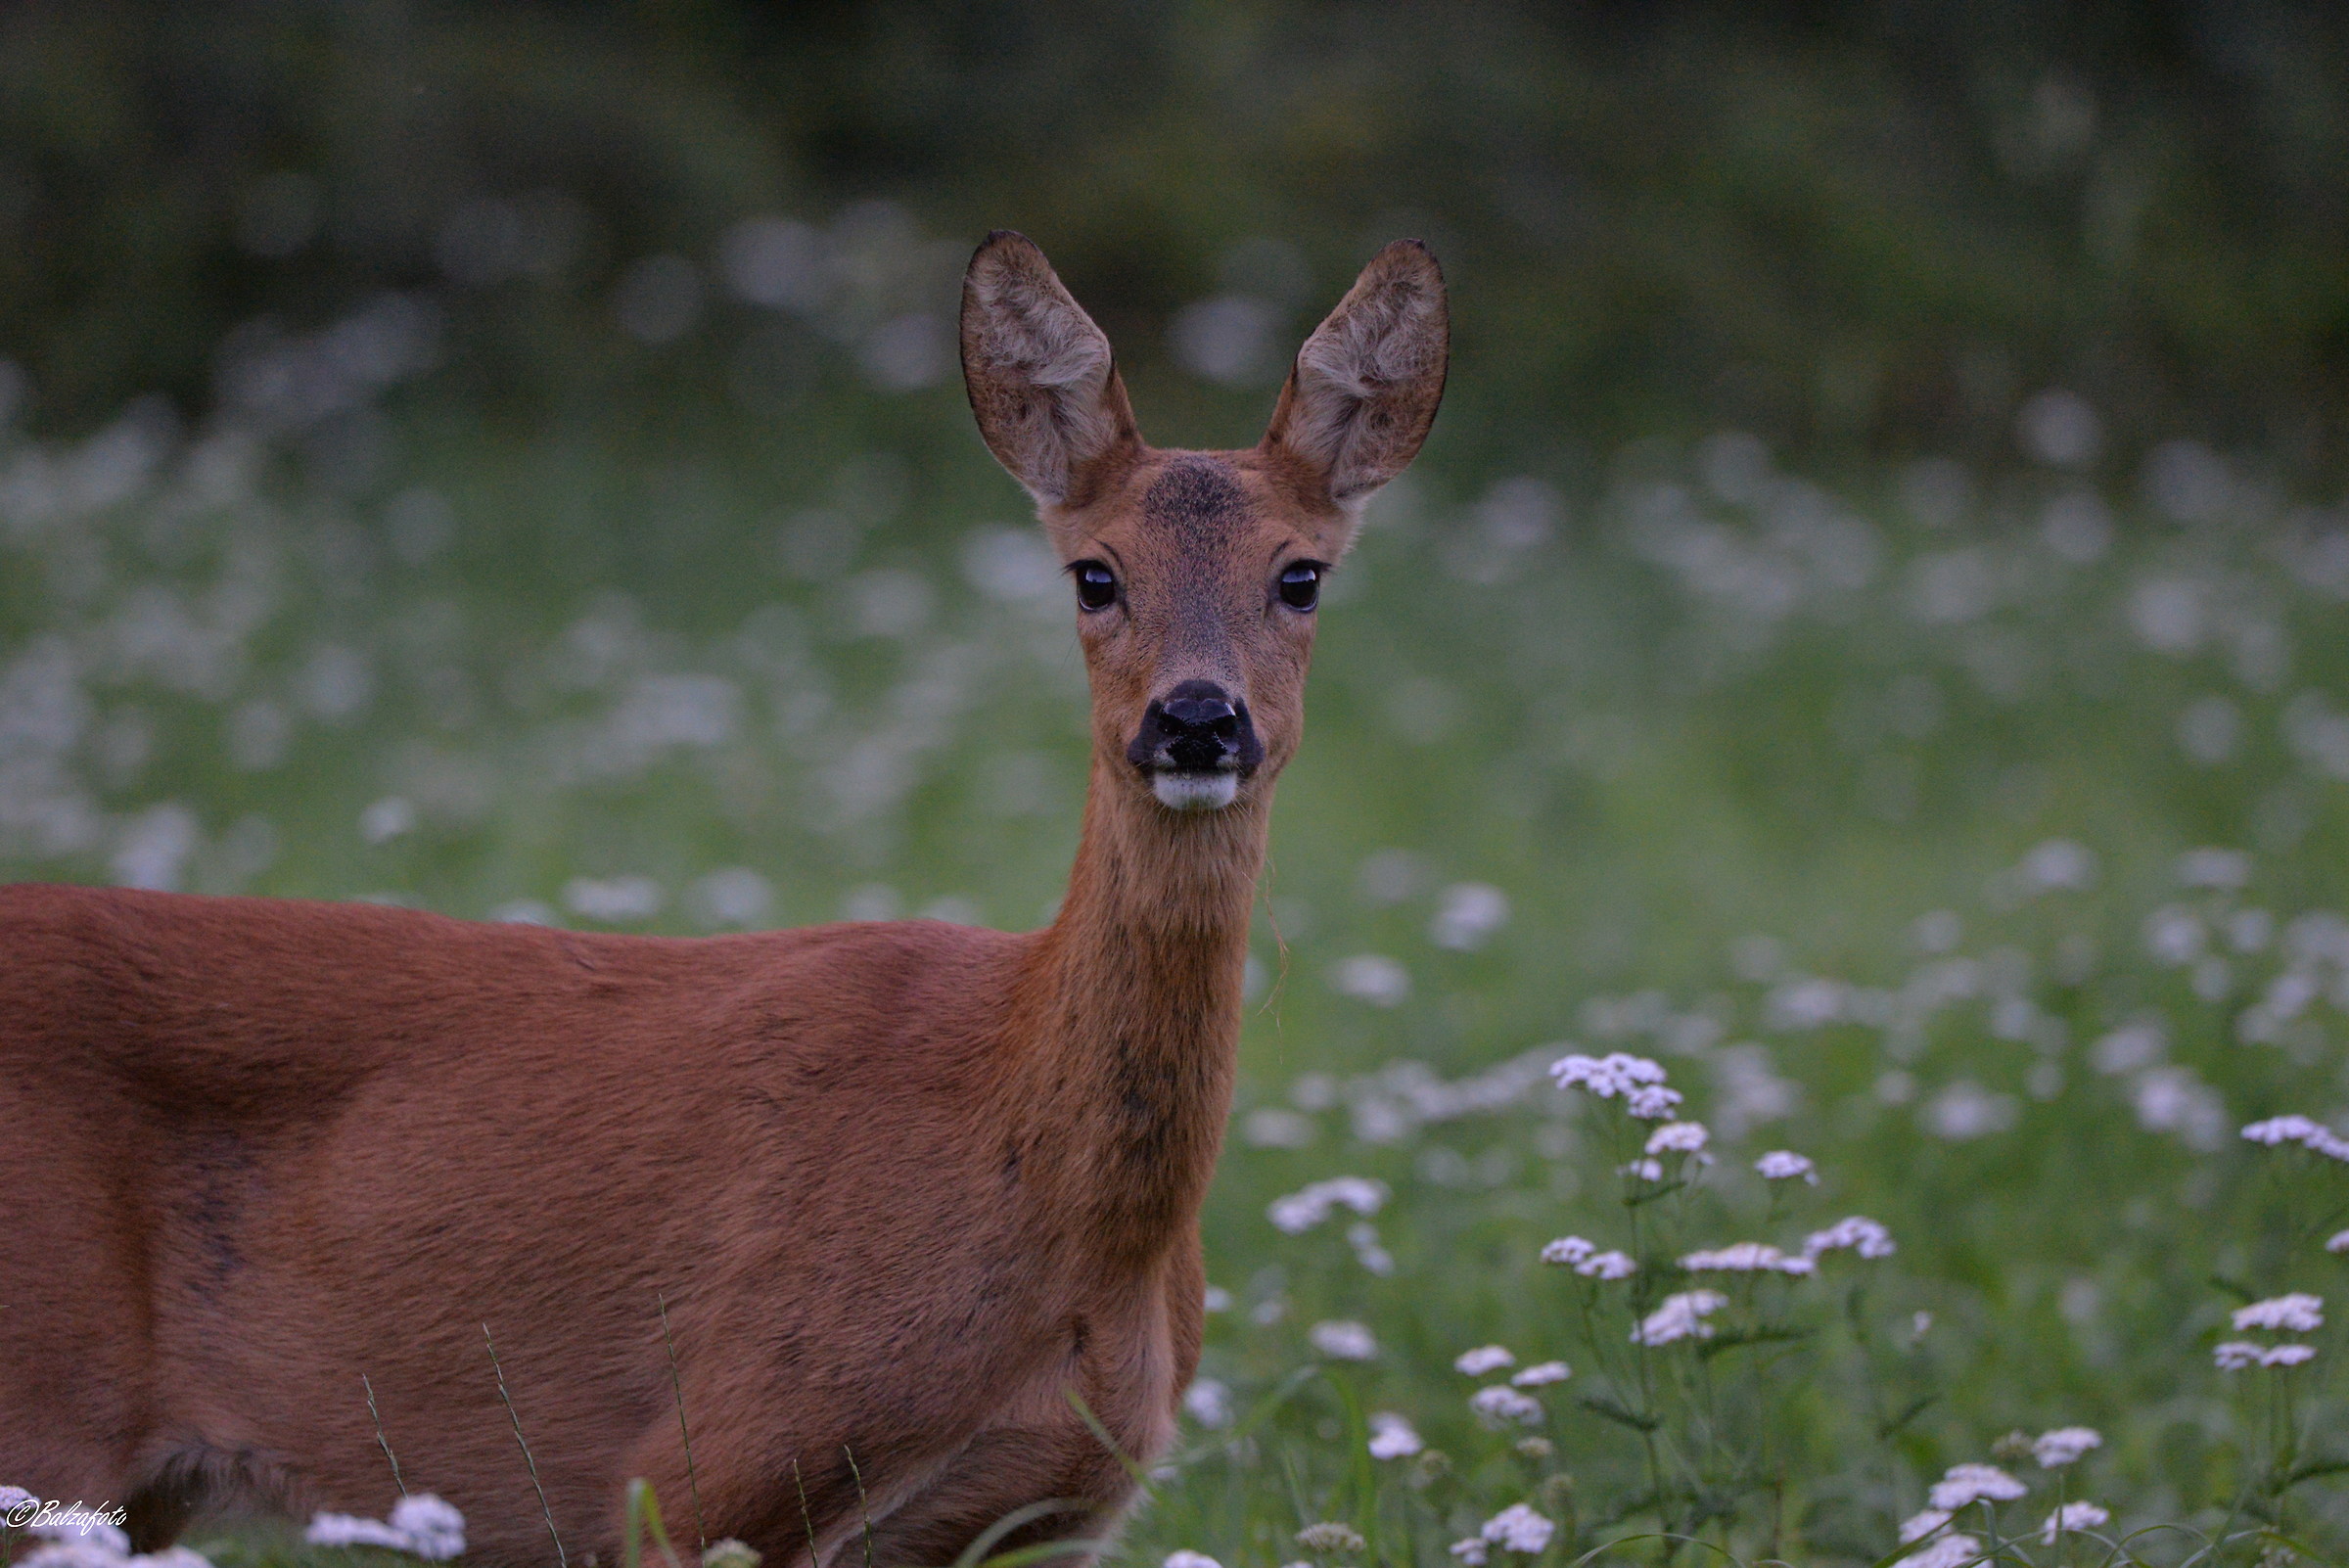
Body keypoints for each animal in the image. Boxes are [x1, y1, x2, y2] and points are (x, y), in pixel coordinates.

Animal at [0, 231, 1447, 1568]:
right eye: (1095, 573)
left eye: (1301, 574)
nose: (1197, 718)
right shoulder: (703, 1463)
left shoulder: (1038, 1519)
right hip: (43, 1410)